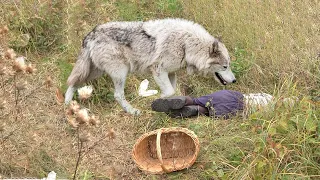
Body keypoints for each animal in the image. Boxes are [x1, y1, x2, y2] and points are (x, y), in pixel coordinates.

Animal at [63, 17, 236, 114]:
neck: (186, 44)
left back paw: (68, 106)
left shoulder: (170, 73)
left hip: (93, 72)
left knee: (73, 83)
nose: (234, 80)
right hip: (121, 72)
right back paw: (133, 111)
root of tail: (92, 33)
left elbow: (173, 91)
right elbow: (169, 91)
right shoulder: (158, 70)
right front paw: (156, 100)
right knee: (118, 95)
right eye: (225, 66)